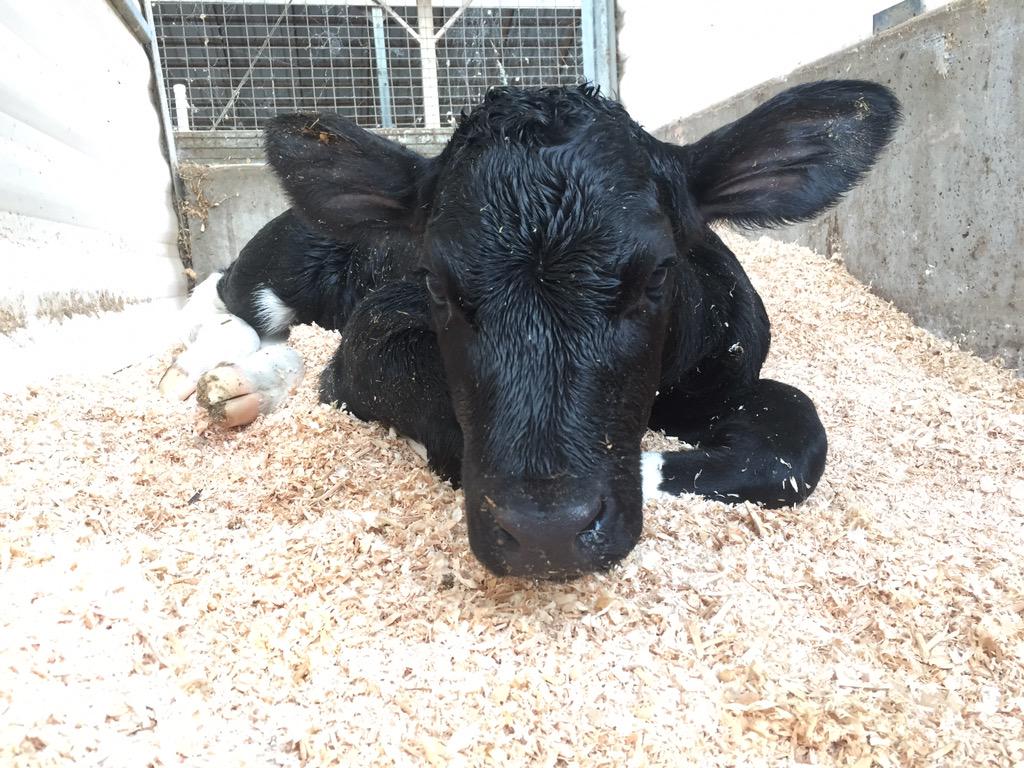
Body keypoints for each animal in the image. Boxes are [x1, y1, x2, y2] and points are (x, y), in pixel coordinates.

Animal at [161, 82, 900, 580]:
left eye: (659, 274)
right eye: (435, 281)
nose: (548, 532)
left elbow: (796, 439)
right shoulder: (370, 339)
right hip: (286, 258)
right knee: (223, 294)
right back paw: (212, 374)